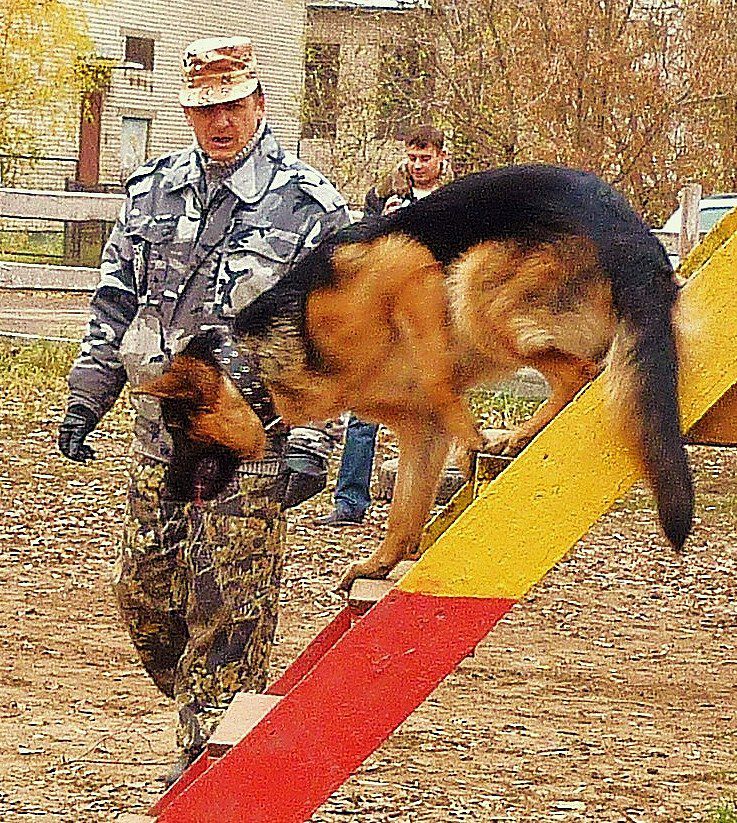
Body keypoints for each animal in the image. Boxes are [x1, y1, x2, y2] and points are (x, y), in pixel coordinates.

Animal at [139, 164, 694, 591]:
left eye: (179, 428)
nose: (168, 493)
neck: (261, 364)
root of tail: (633, 233)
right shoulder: (420, 431)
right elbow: (404, 514)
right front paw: (379, 565)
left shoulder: (408, 270)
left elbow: (438, 379)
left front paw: (471, 441)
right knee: (578, 373)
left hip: (473, 286)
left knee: (579, 372)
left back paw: (510, 436)